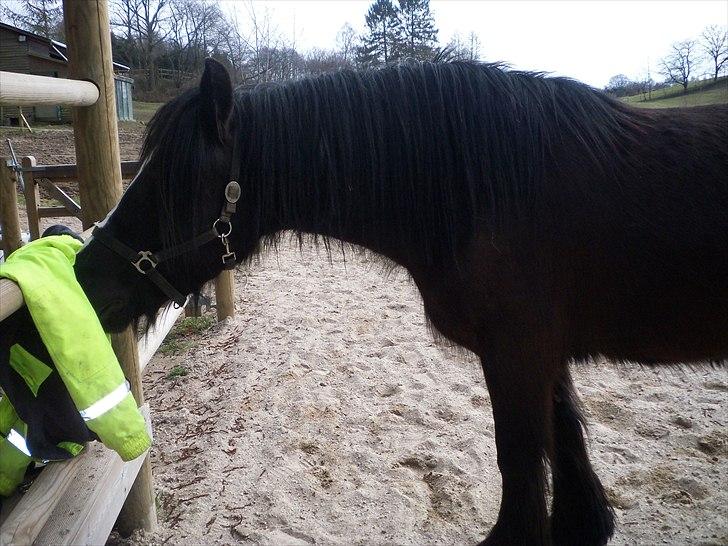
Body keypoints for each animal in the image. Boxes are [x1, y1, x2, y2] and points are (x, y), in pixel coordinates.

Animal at [75, 59, 728, 544]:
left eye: (173, 181)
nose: (85, 275)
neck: (487, 191)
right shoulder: (546, 356)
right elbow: (564, 440)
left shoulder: (517, 354)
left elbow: (520, 456)